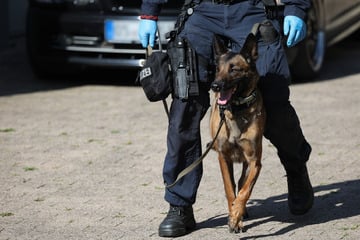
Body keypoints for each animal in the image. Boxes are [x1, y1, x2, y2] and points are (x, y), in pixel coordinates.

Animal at [210, 33, 266, 232]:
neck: (237, 109)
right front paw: (233, 215)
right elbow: (230, 189)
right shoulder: (223, 157)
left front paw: (236, 215)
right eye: (217, 69)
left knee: (242, 183)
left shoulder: (255, 162)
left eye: (233, 69)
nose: (215, 86)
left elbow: (245, 190)